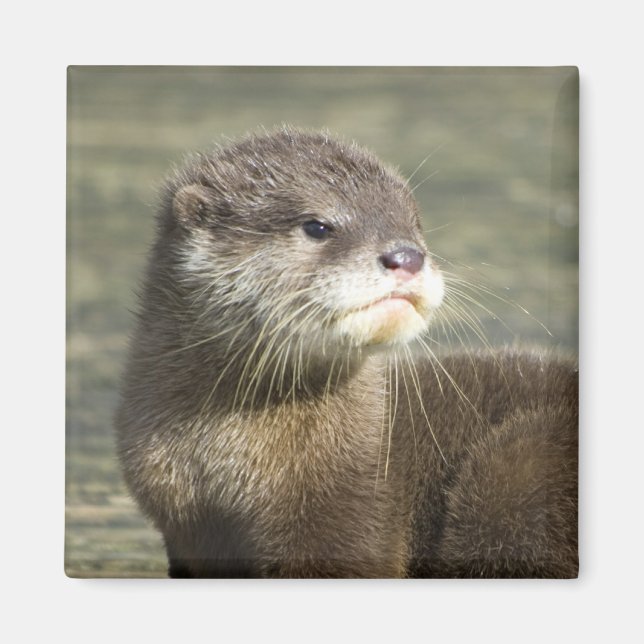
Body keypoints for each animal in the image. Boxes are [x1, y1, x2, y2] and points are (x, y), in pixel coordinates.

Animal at [115, 126, 578, 578]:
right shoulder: (184, 531)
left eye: (415, 223)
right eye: (317, 226)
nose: (407, 255)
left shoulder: (350, 518)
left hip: (515, 469)